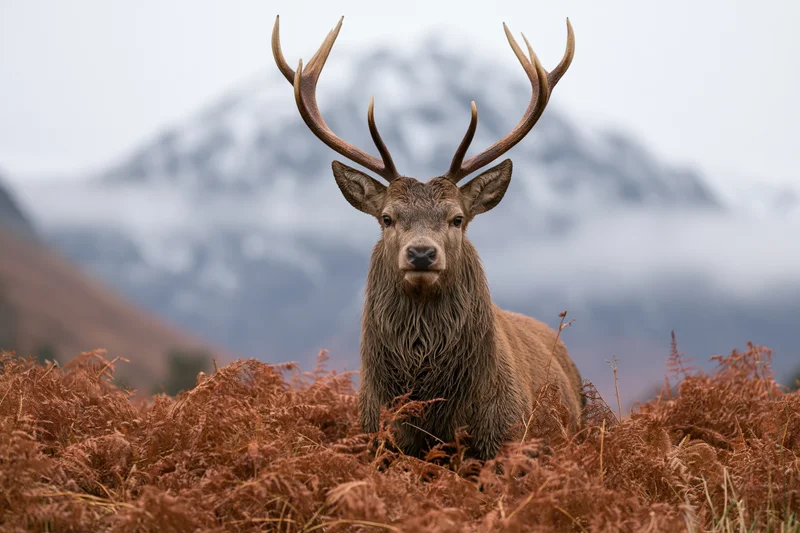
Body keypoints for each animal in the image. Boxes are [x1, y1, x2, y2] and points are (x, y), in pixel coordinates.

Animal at [271, 16, 584, 460]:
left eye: (457, 219)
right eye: (387, 218)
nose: (421, 254)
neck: (434, 419)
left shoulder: (505, 441)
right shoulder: (381, 443)